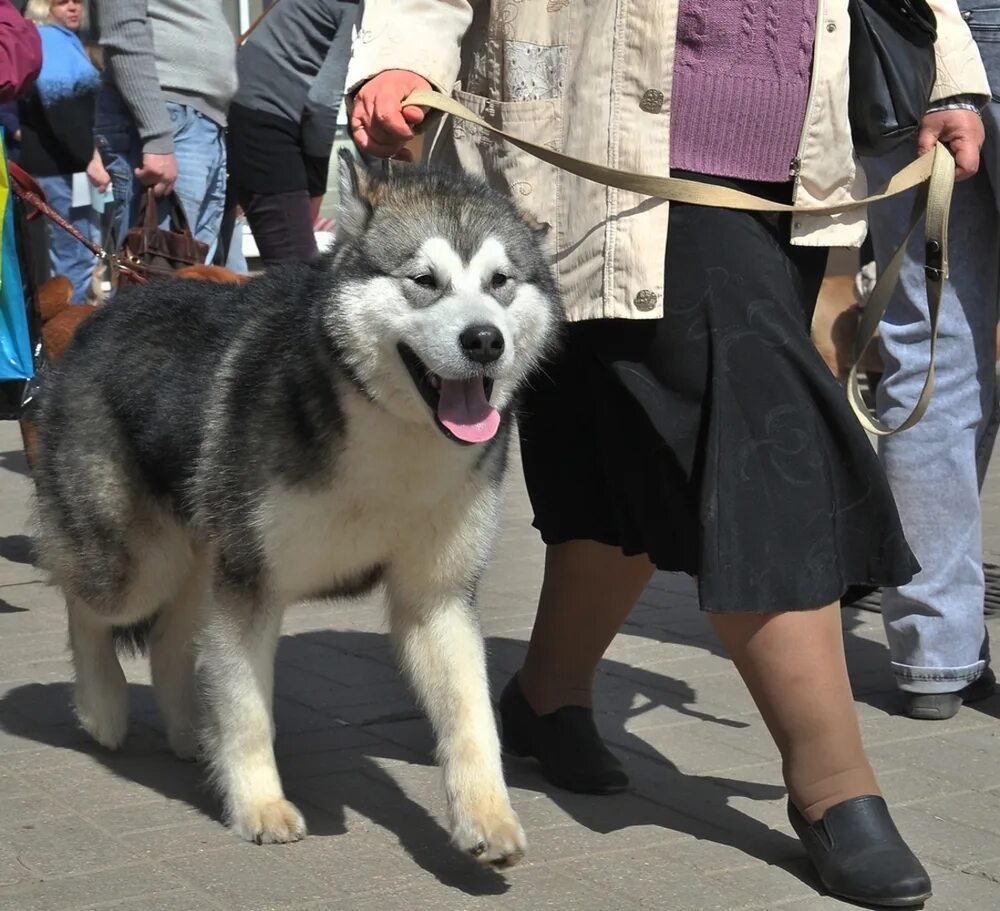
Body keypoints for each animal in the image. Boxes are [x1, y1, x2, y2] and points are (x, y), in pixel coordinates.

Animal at [29, 159, 564, 868]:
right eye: (424, 280)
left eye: (501, 282)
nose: (484, 340)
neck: (389, 432)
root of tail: (104, 307)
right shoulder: (251, 581)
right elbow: (249, 708)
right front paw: (259, 805)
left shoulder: (438, 595)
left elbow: (471, 713)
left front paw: (486, 817)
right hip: (137, 559)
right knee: (87, 602)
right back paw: (103, 707)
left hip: (201, 551)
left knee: (172, 635)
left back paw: (192, 733)